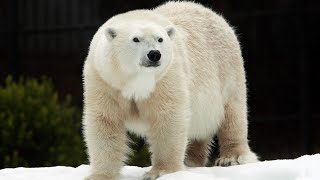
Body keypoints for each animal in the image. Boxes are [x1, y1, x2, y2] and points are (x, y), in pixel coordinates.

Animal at [82, 1, 258, 180]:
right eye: (136, 39)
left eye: (160, 39)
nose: (154, 54)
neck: (137, 82)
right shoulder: (105, 81)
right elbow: (105, 121)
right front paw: (100, 175)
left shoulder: (167, 77)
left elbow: (168, 117)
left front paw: (161, 171)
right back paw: (191, 160)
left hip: (226, 69)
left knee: (232, 113)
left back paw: (231, 157)